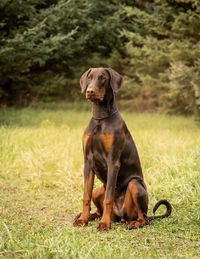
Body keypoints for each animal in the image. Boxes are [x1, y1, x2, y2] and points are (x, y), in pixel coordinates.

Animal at [73, 67, 172, 232]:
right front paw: (82, 219)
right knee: (99, 206)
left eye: (103, 78)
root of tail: (120, 216)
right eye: (89, 77)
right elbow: (86, 195)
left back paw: (132, 223)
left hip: (135, 185)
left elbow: (108, 198)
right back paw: (91, 216)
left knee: (144, 218)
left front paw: (104, 224)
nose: (90, 91)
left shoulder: (113, 161)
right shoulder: (87, 161)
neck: (100, 119)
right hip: (98, 191)